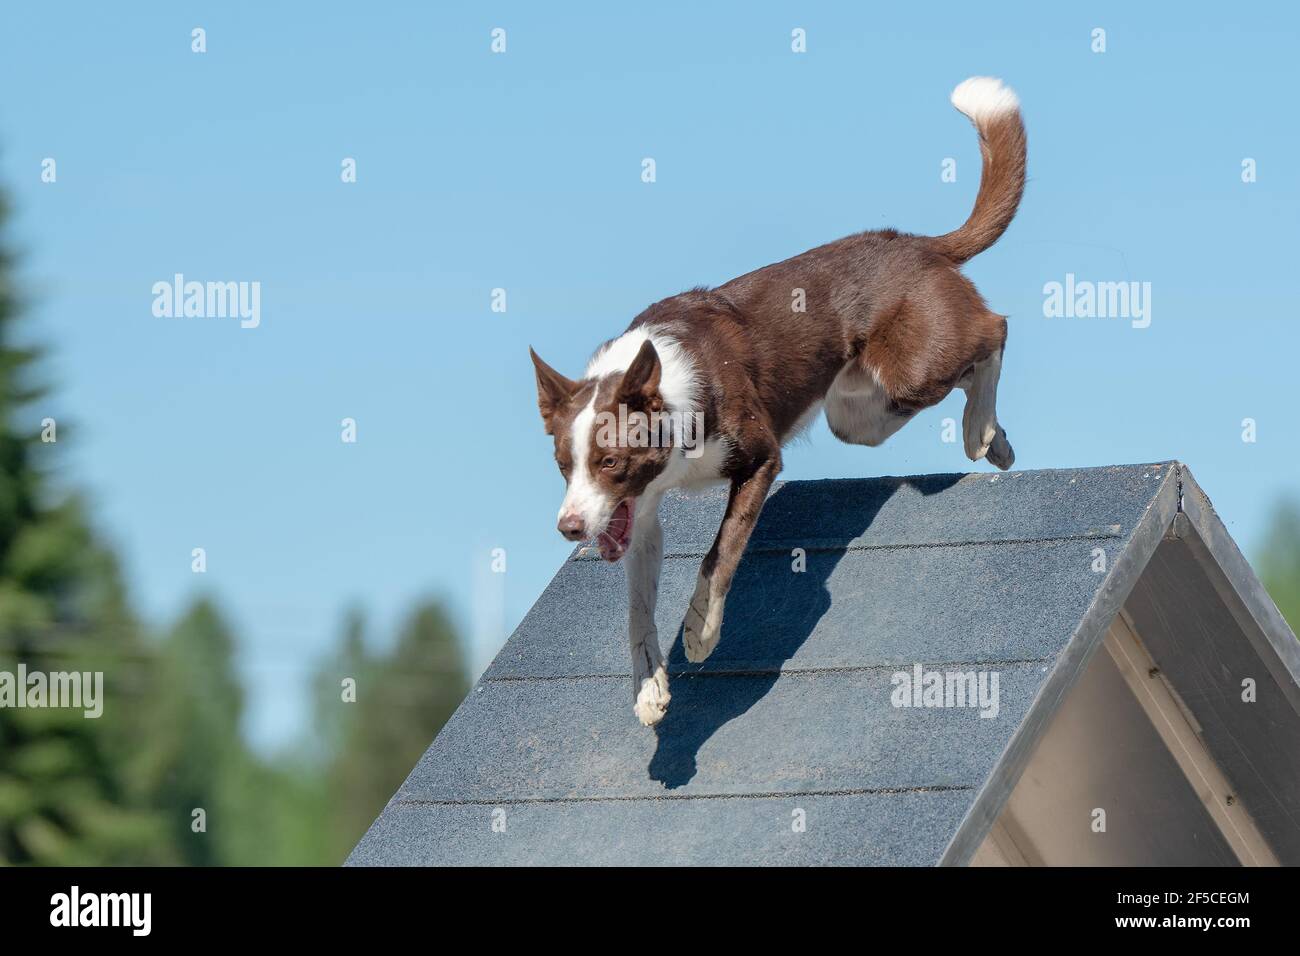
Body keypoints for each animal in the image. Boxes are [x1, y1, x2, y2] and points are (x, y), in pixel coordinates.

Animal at [527, 78, 1024, 728]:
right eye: (564, 466)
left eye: (609, 461)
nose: (568, 528)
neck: (669, 399)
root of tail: (919, 245)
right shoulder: (640, 513)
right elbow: (637, 609)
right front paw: (649, 687)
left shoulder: (759, 459)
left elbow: (721, 552)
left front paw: (700, 631)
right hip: (856, 413)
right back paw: (994, 437)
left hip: (909, 369)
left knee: (995, 329)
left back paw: (979, 425)